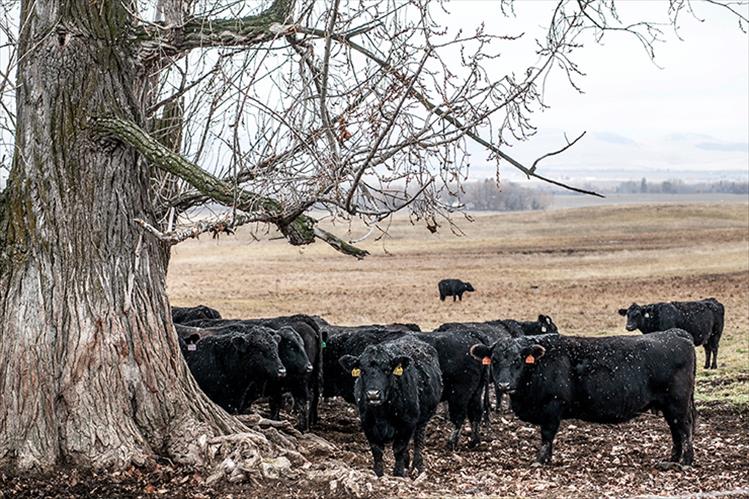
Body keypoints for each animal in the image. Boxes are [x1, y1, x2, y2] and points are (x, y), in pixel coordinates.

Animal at [340, 336, 442, 476]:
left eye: (387, 370)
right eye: (362, 371)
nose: (373, 394)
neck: (382, 414)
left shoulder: (408, 422)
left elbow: (399, 448)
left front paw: (398, 473)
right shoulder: (367, 422)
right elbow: (377, 450)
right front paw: (378, 473)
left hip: (423, 418)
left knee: (418, 440)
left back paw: (418, 466)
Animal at [470, 330, 700, 466]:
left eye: (518, 360)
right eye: (494, 360)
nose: (503, 384)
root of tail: (676, 334)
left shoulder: (552, 407)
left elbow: (547, 435)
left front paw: (540, 460)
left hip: (678, 403)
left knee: (684, 428)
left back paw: (686, 460)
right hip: (669, 405)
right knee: (675, 429)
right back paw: (673, 458)